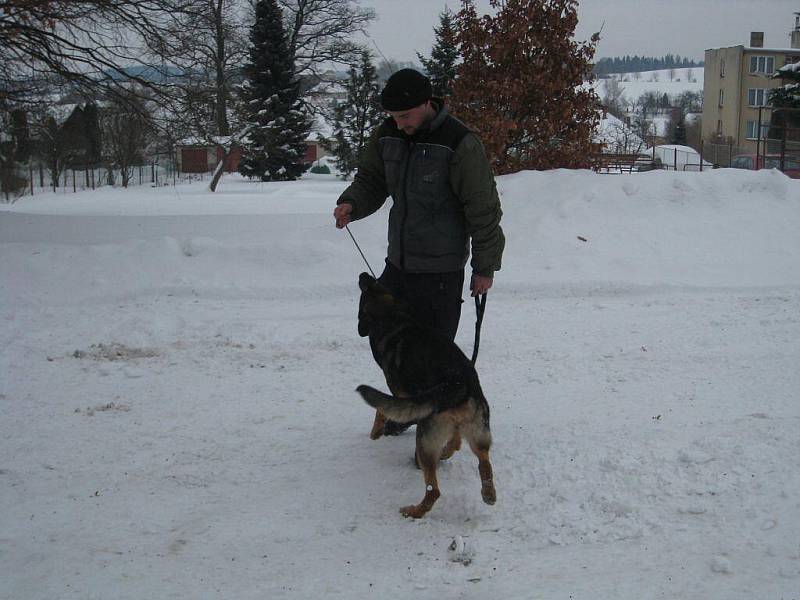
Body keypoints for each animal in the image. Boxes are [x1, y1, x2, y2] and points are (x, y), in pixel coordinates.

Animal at [354, 274, 494, 520]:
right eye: (378, 284)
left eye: (367, 290)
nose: (363, 274)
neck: (391, 318)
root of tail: (459, 384)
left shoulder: (400, 392)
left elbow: (381, 408)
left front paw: (376, 432)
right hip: (477, 432)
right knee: (480, 460)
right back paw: (487, 492)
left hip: (426, 441)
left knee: (434, 490)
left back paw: (415, 511)